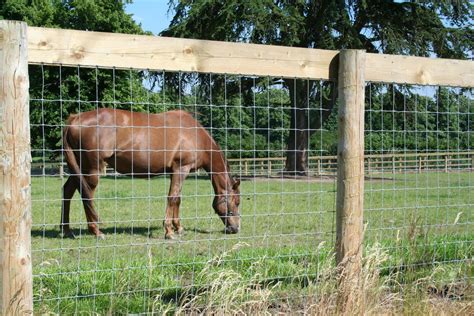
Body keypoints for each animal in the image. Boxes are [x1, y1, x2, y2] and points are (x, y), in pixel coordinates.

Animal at [62, 109, 241, 239]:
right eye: (237, 202)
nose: (236, 228)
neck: (195, 135)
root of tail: (75, 119)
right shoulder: (181, 168)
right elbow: (172, 198)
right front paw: (169, 231)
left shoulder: (176, 171)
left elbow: (177, 199)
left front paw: (178, 227)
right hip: (92, 169)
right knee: (87, 195)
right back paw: (96, 231)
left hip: (79, 168)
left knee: (68, 190)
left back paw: (66, 230)